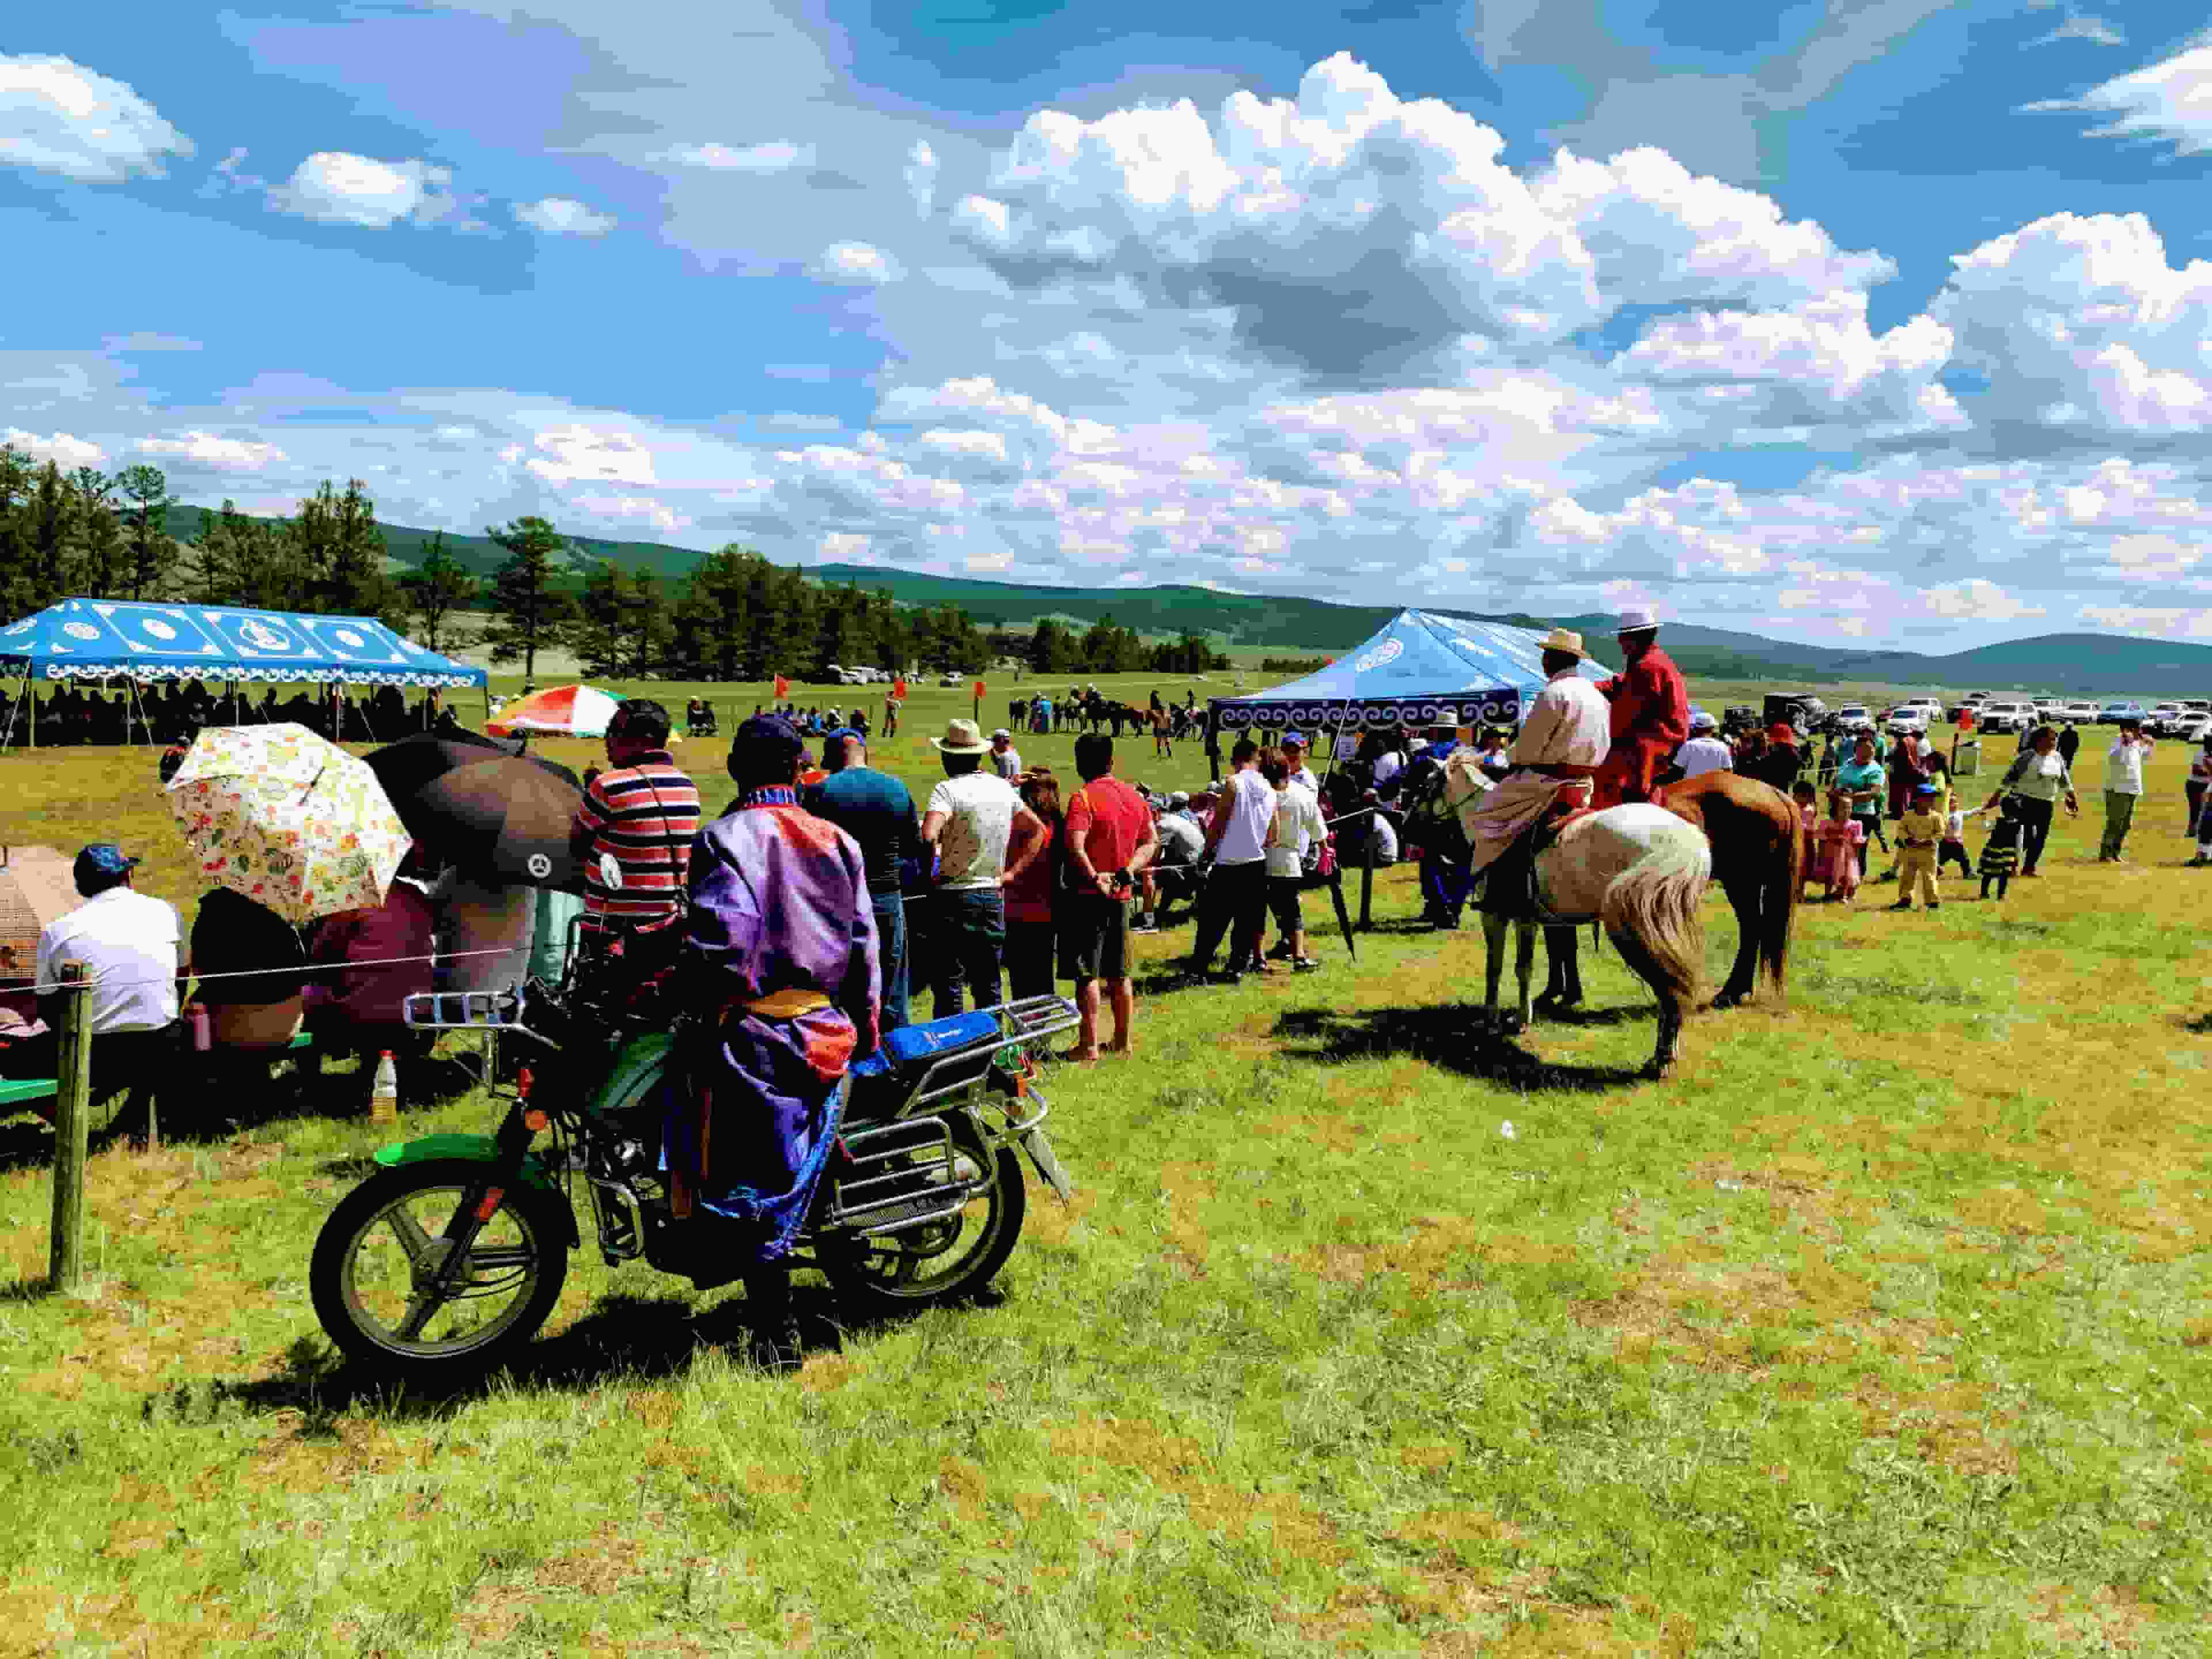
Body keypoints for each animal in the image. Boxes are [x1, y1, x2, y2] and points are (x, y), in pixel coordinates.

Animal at [1486, 814, 1707, 1084]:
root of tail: (1689, 838)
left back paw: (1660, 1063)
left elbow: (1496, 968)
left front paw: (1492, 1019)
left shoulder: (1495, 914)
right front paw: (1521, 1018)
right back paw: (1662, 1059)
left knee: (1668, 994)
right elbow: (1525, 968)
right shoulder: (1527, 919)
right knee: (1671, 994)